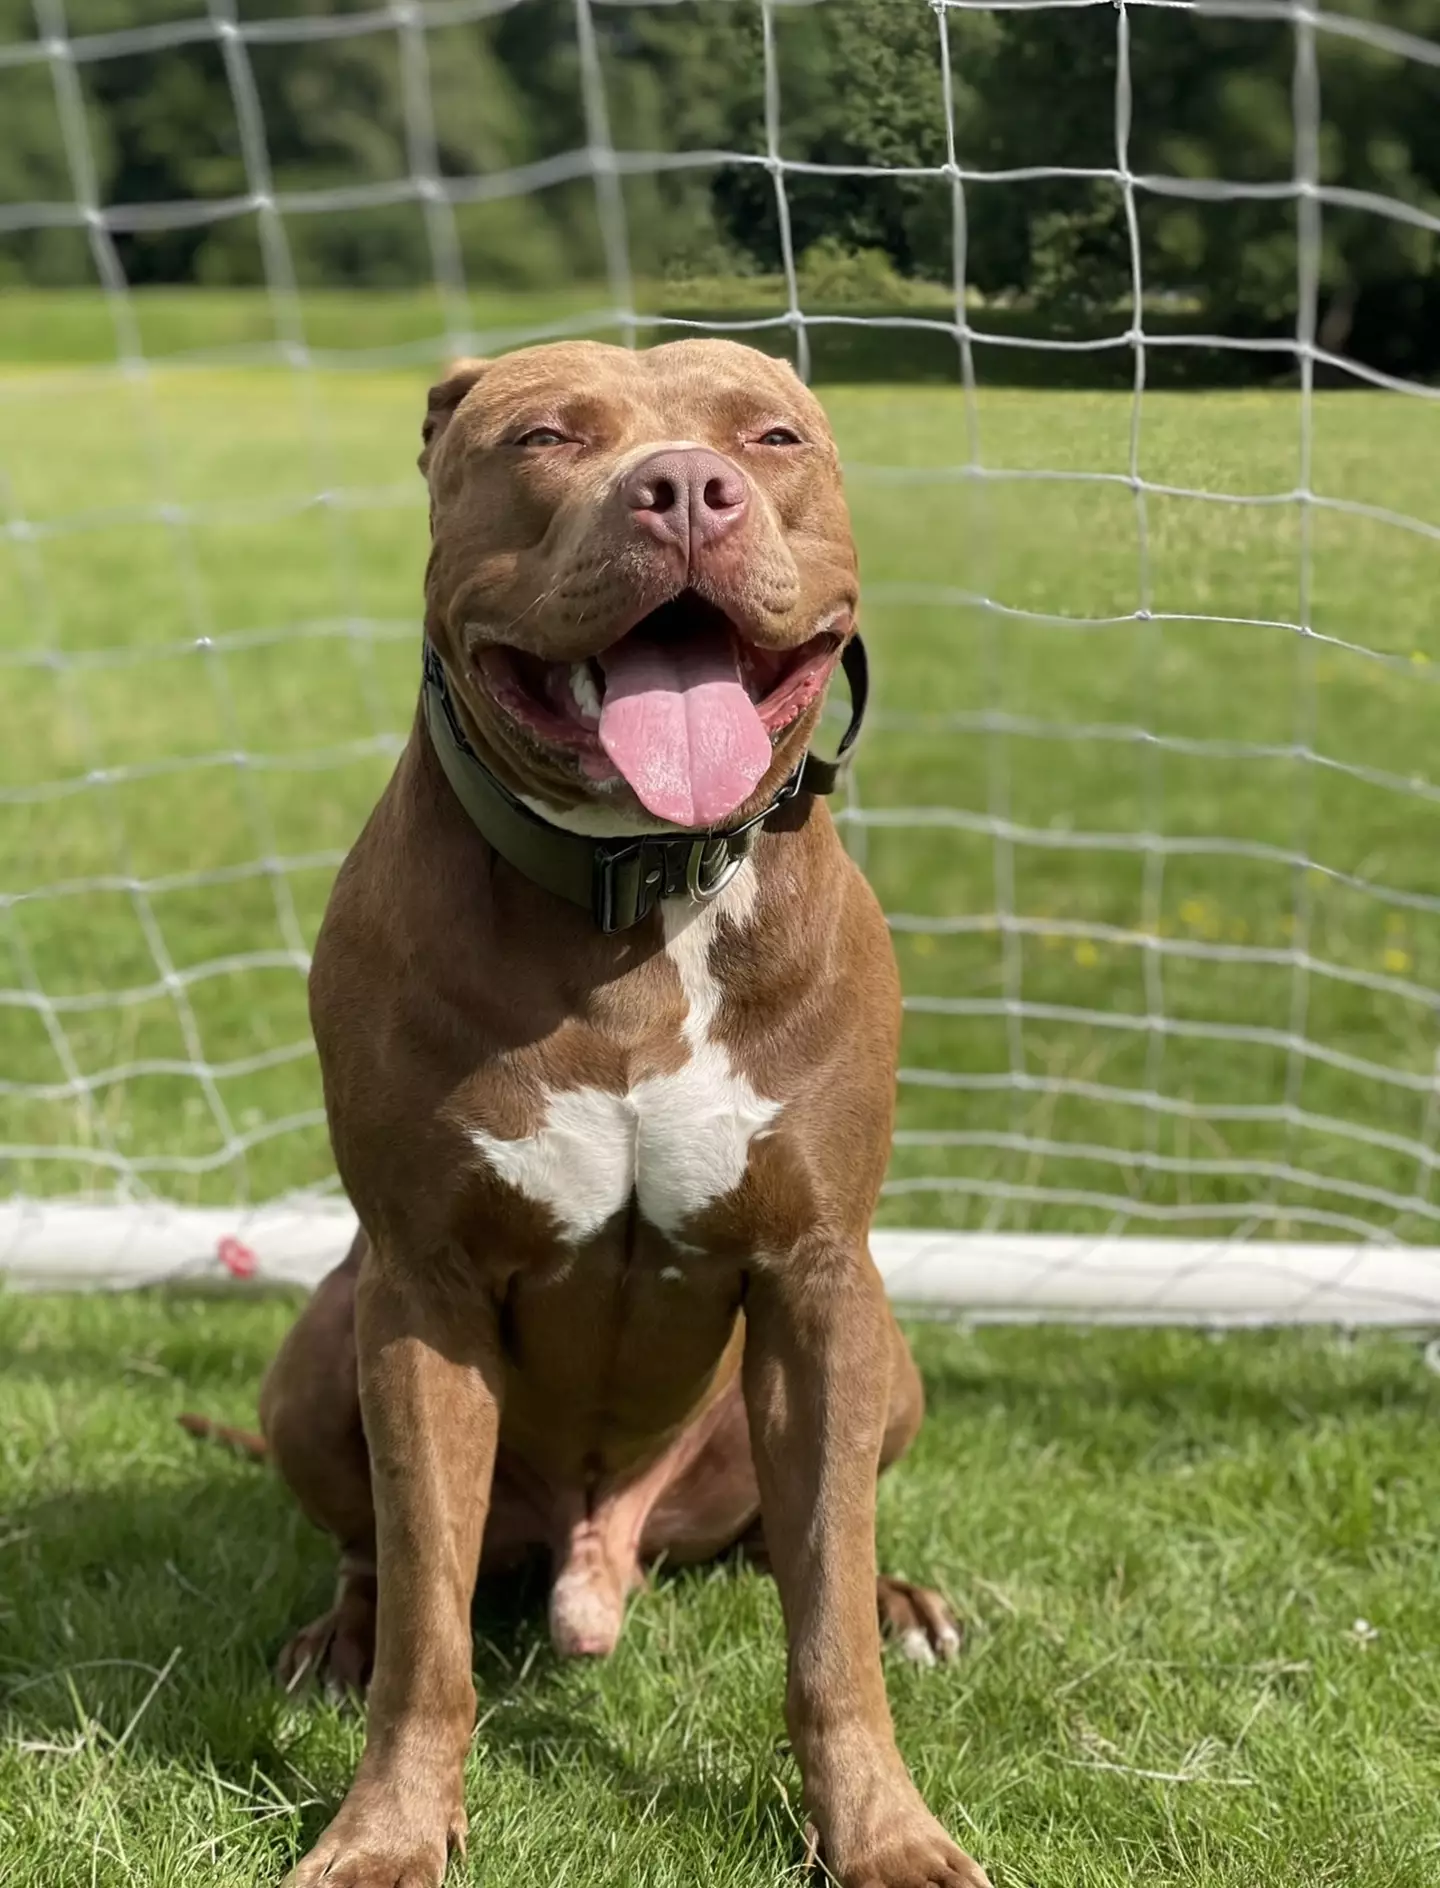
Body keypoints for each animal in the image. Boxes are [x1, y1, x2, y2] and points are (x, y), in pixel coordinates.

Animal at [251, 343, 988, 1888]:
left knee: (804, 1540)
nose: (687, 488)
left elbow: (825, 1620)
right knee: (377, 1552)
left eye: (770, 438)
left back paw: (903, 1598)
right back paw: (338, 1635)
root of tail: (604, 1548)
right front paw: (387, 1830)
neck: (636, 893)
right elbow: (429, 1629)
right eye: (544, 435)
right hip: (319, 1350)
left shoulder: (819, 1283)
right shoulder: (422, 1294)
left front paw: (882, 1830)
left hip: (884, 1355)